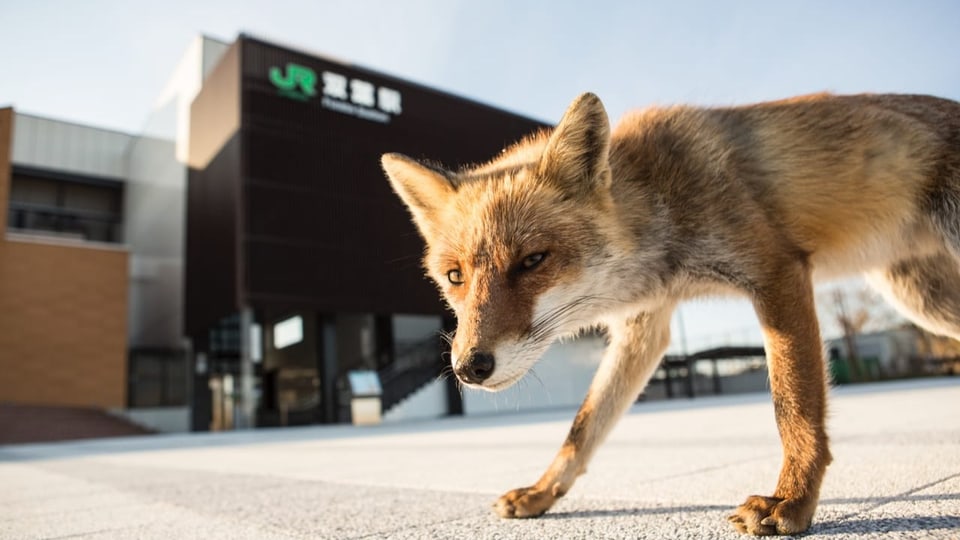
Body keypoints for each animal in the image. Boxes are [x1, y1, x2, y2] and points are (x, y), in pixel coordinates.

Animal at [382, 93, 960, 536]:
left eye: (532, 261)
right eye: (454, 276)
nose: (469, 367)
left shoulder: (776, 272)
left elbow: (793, 409)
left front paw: (792, 502)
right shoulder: (646, 326)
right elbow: (582, 428)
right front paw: (543, 493)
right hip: (923, 297)